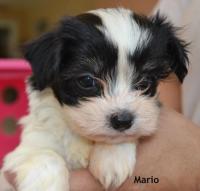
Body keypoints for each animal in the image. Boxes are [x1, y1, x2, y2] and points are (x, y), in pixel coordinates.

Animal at [1, 7, 188, 191]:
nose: (122, 120)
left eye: (145, 82)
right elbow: (45, 154)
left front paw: (112, 157)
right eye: (87, 81)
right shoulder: (20, 153)